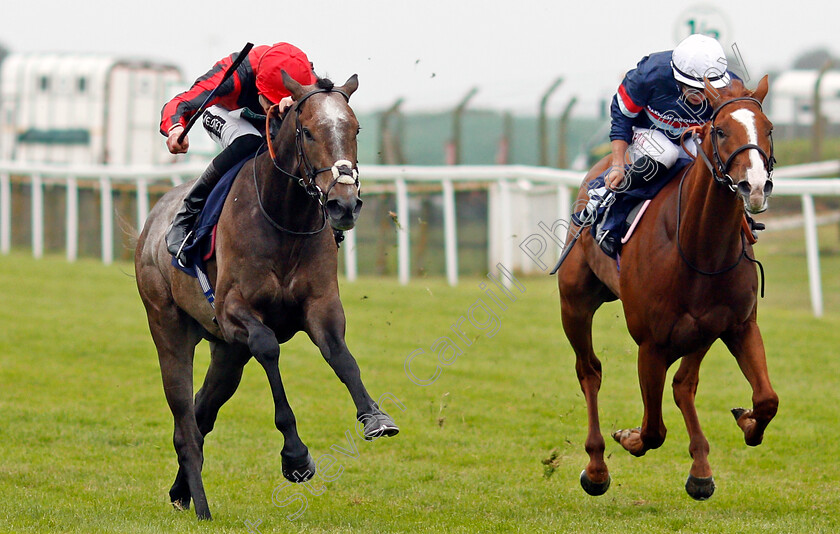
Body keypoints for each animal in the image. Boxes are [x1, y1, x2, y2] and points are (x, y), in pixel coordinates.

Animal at [136, 73, 398, 520]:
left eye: (356, 129)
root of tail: (153, 220)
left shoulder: (321, 305)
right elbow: (268, 346)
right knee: (186, 424)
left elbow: (340, 355)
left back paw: (181, 492)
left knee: (202, 414)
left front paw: (374, 417)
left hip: (226, 353)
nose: (344, 204)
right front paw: (295, 456)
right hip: (168, 329)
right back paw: (201, 506)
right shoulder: (233, 311)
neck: (284, 217)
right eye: (307, 131)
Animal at [556, 76, 780, 502]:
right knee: (588, 371)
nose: (755, 186)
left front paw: (746, 421)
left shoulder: (738, 325)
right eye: (720, 130)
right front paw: (627, 438)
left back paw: (701, 470)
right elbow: (652, 430)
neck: (699, 246)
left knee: (683, 385)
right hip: (574, 302)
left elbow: (766, 399)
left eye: (769, 129)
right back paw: (596, 468)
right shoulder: (652, 343)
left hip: (702, 331)